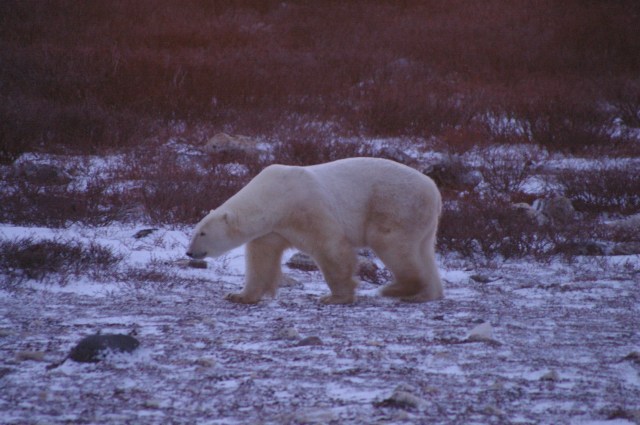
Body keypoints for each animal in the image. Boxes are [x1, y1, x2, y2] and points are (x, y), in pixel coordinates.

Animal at [186, 157, 443, 305]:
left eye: (202, 233)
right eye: (195, 231)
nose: (189, 252)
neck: (276, 196)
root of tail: (434, 189)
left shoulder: (306, 207)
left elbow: (330, 247)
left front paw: (334, 297)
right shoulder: (272, 230)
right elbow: (261, 259)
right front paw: (239, 295)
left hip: (396, 205)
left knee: (391, 244)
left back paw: (396, 288)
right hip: (423, 221)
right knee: (423, 251)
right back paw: (425, 294)